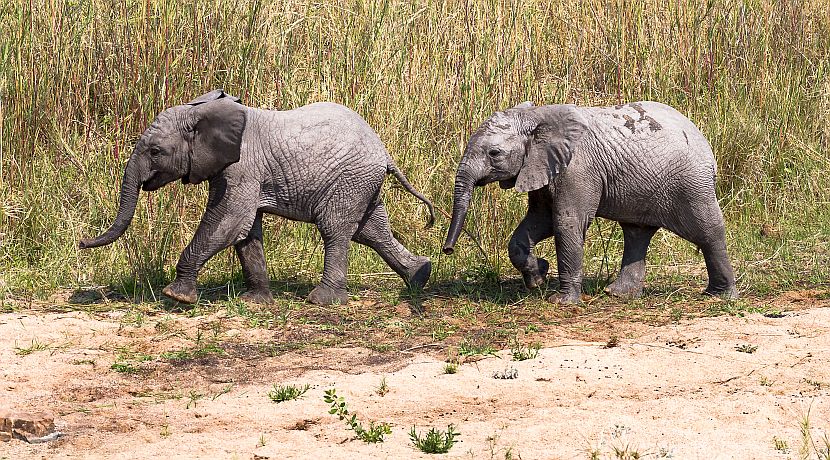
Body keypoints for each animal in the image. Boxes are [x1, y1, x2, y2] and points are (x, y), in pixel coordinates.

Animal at [80, 90, 434, 306]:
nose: (82, 242)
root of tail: (384, 153)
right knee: (372, 231)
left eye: (155, 151)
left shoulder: (241, 168)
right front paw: (256, 303)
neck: (206, 113)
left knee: (336, 230)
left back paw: (321, 301)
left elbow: (227, 222)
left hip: (350, 179)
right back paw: (419, 278)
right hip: (362, 183)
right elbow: (245, 232)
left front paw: (177, 296)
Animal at [442, 101, 738, 304]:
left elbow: (566, 223)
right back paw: (619, 295)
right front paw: (538, 277)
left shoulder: (577, 169)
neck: (537, 116)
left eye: (494, 153)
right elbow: (538, 222)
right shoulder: (541, 167)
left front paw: (561, 302)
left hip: (692, 183)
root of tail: (701, 137)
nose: (447, 250)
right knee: (636, 233)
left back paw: (719, 296)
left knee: (708, 231)